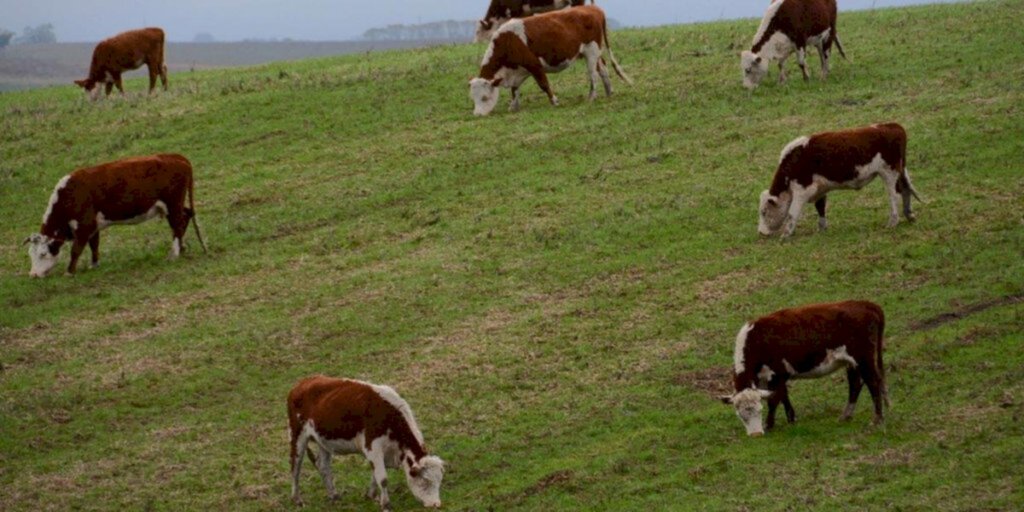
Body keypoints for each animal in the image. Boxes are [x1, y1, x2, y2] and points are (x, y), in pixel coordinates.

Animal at [24, 153, 206, 278]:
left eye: (42, 254)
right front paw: (94, 265)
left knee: (178, 224)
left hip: (173, 205)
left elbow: (76, 250)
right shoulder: (93, 226)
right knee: (185, 216)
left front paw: (69, 272)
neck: (70, 195)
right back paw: (181, 247)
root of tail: (176, 157)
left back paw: (174, 253)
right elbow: (94, 245)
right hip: (173, 207)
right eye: (30, 254)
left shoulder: (84, 226)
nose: (33, 275)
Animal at [290, 374, 446, 509]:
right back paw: (297, 500)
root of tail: (303, 382)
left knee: (323, 466)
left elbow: (375, 476)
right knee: (295, 467)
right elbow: (382, 478)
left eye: (439, 481)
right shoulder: (373, 447)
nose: (436, 504)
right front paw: (386, 505)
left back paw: (334, 496)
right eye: (425, 481)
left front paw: (371, 495)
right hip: (297, 435)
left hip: (324, 441)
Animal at [468, 4, 626, 117]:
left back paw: (592, 97)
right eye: (473, 99)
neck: (508, 41)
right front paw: (514, 106)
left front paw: (554, 101)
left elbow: (543, 84)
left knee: (593, 75)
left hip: (591, 52)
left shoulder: (534, 65)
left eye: (484, 97)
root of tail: (592, 8)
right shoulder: (517, 71)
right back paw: (608, 92)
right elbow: (514, 89)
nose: (477, 115)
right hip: (592, 53)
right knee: (603, 69)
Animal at [720, 299, 888, 436]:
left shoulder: (777, 374)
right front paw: (791, 419)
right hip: (851, 362)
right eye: (740, 415)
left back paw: (877, 419)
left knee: (873, 383)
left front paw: (769, 425)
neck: (757, 341)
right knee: (855, 384)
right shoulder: (774, 377)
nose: (756, 434)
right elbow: (783, 396)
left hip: (863, 358)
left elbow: (774, 400)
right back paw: (845, 416)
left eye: (759, 409)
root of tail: (865, 304)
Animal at [757, 122, 925, 236]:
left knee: (894, 195)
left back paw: (893, 222)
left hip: (889, 173)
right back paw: (909, 215)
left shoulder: (802, 190)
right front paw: (822, 228)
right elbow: (820, 207)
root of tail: (892, 126)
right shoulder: (820, 188)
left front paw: (786, 234)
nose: (761, 232)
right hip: (900, 171)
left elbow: (793, 212)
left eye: (764, 212)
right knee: (905, 189)